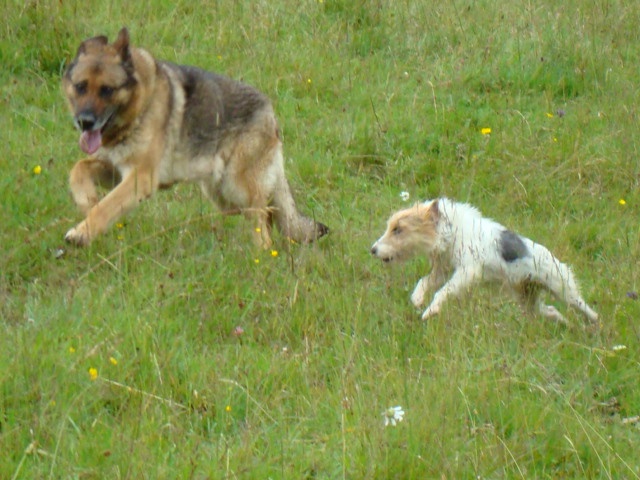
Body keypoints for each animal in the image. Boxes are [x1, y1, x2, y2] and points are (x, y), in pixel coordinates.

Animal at [62, 27, 328, 248]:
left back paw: (261, 259)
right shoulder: (116, 171)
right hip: (224, 198)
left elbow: (105, 208)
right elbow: (78, 170)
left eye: (107, 90)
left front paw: (82, 233)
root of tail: (270, 112)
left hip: (237, 188)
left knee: (263, 225)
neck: (141, 106)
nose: (84, 122)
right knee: (270, 215)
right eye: (80, 86)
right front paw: (87, 200)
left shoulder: (140, 178)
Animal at [370, 197, 600, 324]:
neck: (454, 232)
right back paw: (564, 322)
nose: (373, 250)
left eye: (398, 229)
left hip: (563, 289)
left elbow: (443, 291)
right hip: (527, 299)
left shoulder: (467, 272)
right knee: (551, 310)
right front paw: (417, 299)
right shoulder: (442, 270)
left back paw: (595, 324)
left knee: (585, 309)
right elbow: (424, 282)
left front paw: (430, 311)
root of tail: (556, 259)